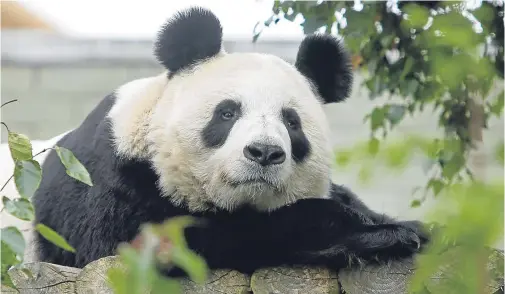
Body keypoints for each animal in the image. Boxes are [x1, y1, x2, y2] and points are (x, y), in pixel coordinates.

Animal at [30, 6, 426, 276]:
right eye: (227, 113)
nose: (264, 152)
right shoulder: (112, 181)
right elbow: (162, 244)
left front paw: (400, 226)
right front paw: (375, 235)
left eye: (292, 122)